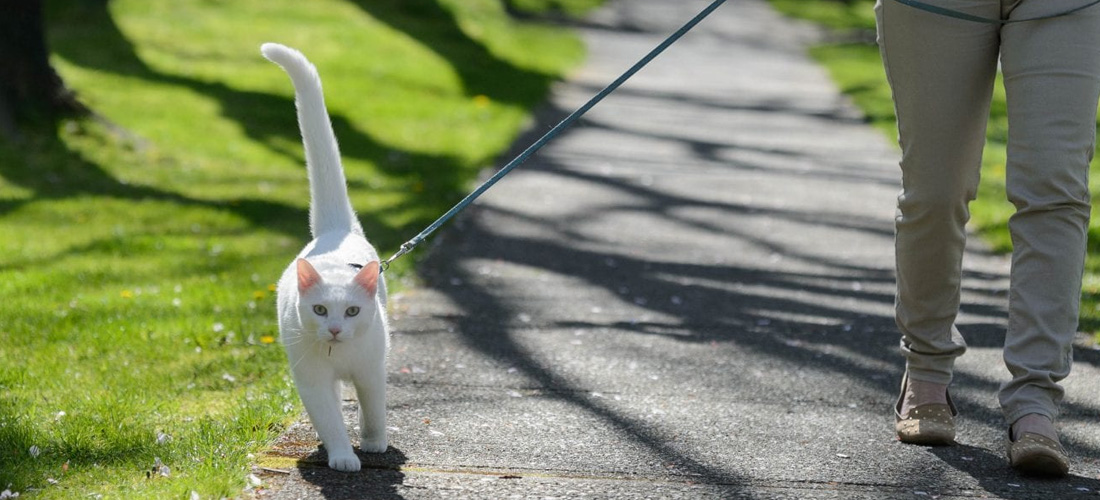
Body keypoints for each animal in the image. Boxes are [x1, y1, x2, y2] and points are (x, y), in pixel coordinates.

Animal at [262, 43, 391, 474]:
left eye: (352, 311)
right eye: (319, 310)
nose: (334, 329)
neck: (339, 355)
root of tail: (335, 232)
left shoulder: (371, 370)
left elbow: (374, 409)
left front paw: (374, 443)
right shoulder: (312, 379)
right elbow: (330, 418)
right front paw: (342, 456)